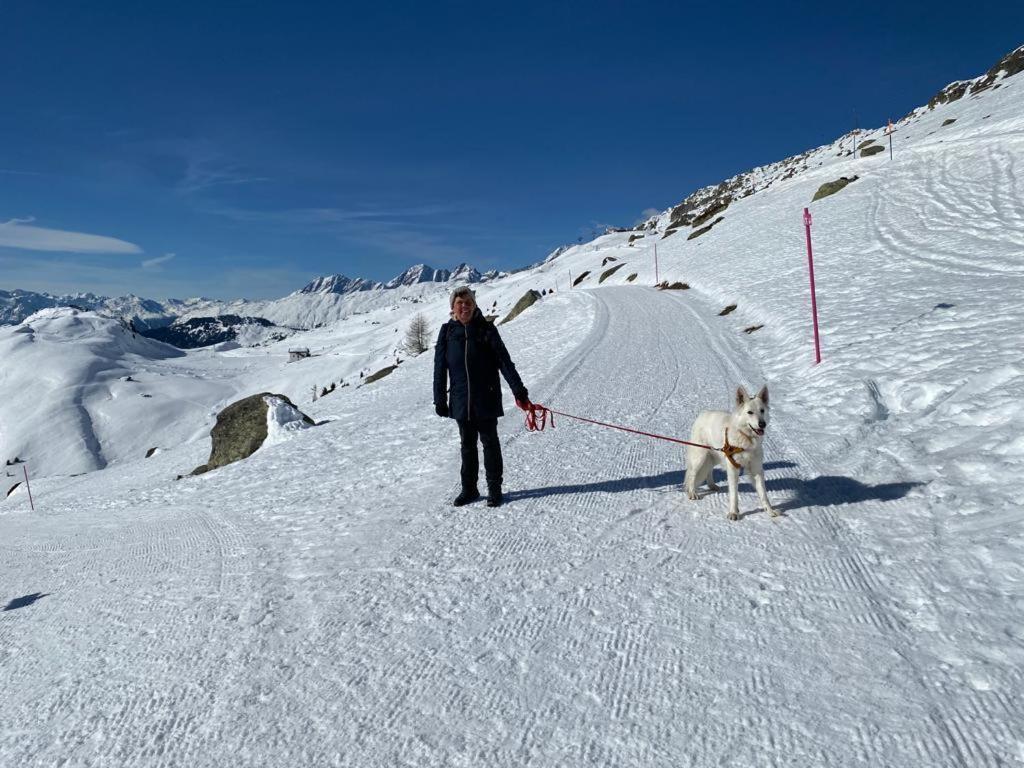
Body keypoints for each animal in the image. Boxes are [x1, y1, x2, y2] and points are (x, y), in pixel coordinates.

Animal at [688, 385, 774, 524]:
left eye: (762, 411)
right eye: (750, 412)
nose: (762, 424)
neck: (745, 438)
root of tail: (703, 414)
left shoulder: (756, 469)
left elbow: (763, 493)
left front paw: (770, 511)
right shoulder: (733, 469)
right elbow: (734, 494)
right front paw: (733, 513)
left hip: (715, 456)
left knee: (709, 470)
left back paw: (712, 485)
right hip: (700, 457)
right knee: (692, 474)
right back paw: (692, 493)